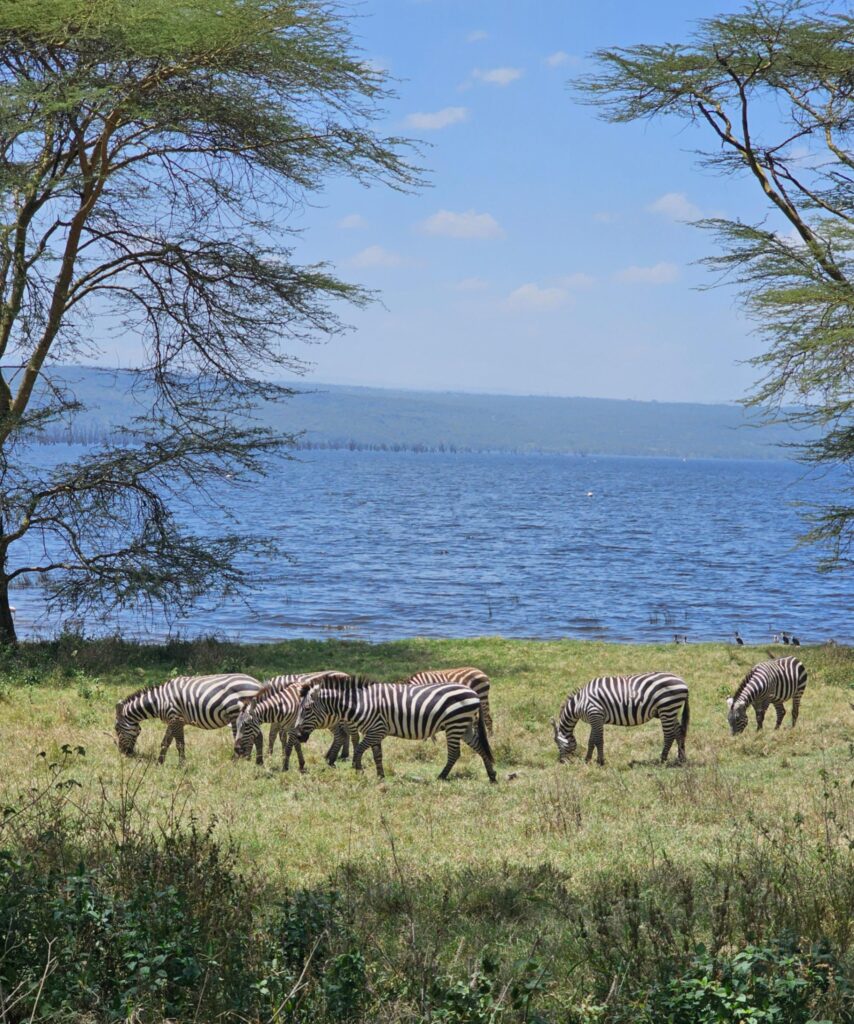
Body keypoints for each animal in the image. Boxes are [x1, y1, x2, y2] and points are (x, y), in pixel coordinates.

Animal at [114, 675, 260, 765]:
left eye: (116, 729)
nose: (123, 753)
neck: (159, 701)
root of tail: (256, 682)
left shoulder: (176, 718)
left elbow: (179, 744)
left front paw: (182, 765)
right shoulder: (172, 720)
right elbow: (165, 742)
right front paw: (159, 762)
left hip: (237, 716)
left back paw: (233, 764)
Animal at [292, 679, 495, 782]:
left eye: (307, 709)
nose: (299, 736)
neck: (361, 704)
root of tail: (474, 693)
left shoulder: (377, 730)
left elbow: (359, 750)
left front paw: (358, 770)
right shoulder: (375, 732)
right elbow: (377, 755)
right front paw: (380, 776)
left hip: (455, 724)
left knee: (454, 753)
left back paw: (441, 776)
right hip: (464, 725)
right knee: (479, 746)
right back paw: (492, 775)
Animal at [552, 675, 684, 765]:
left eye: (558, 744)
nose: (561, 761)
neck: (579, 703)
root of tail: (682, 681)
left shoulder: (595, 714)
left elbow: (598, 740)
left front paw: (600, 762)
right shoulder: (595, 719)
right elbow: (591, 741)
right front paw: (587, 760)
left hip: (667, 708)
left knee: (669, 735)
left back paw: (662, 760)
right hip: (670, 711)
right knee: (678, 732)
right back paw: (681, 758)